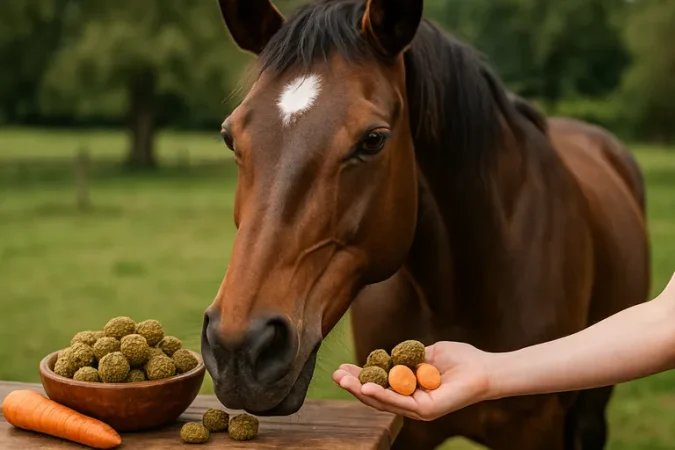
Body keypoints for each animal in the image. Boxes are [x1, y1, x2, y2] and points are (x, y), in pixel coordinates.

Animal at [200, 0, 650, 448]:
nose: (239, 349)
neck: (458, 294)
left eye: (373, 139)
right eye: (229, 136)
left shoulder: (536, 428)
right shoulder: (404, 428)